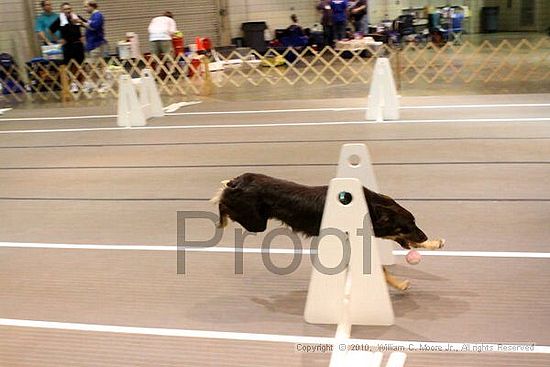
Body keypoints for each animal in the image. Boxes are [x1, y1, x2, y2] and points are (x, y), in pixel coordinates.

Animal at [213, 172, 446, 290]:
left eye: (415, 222)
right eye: (404, 227)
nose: (424, 235)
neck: (370, 207)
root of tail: (237, 181)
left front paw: (433, 243)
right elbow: (382, 270)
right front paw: (399, 284)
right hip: (255, 222)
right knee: (223, 202)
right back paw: (220, 209)